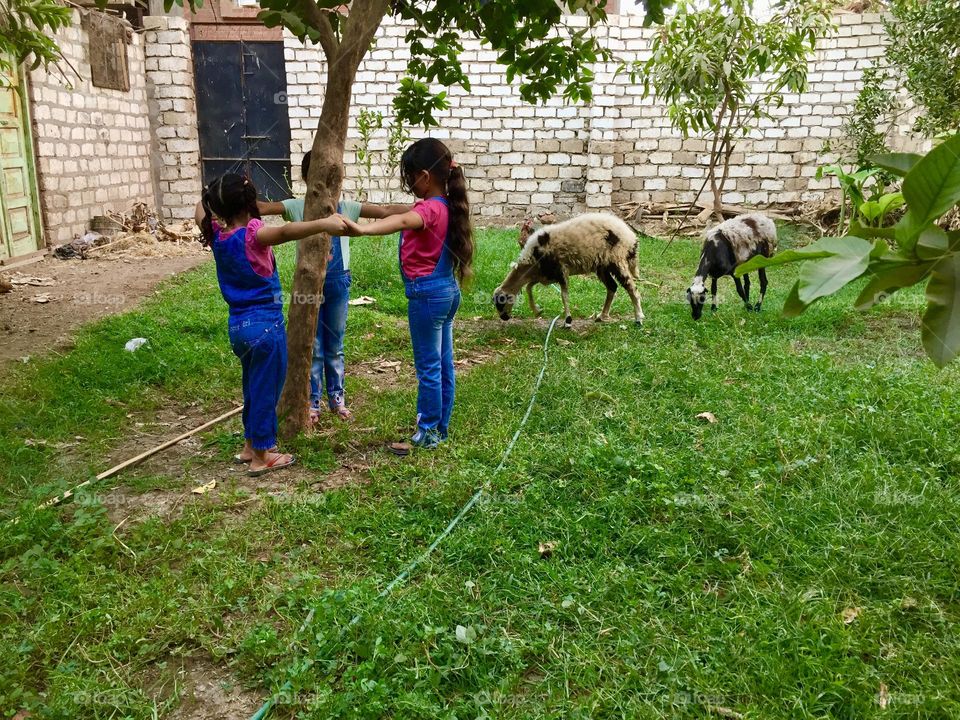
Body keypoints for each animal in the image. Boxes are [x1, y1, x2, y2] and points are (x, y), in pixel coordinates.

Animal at [496, 212, 644, 328]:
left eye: (500, 301)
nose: (504, 318)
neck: (531, 262)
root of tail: (632, 237)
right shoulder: (546, 275)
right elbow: (529, 288)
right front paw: (538, 310)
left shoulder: (560, 271)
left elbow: (564, 296)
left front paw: (567, 321)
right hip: (603, 265)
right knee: (612, 286)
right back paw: (602, 316)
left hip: (617, 260)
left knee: (632, 289)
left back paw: (638, 318)